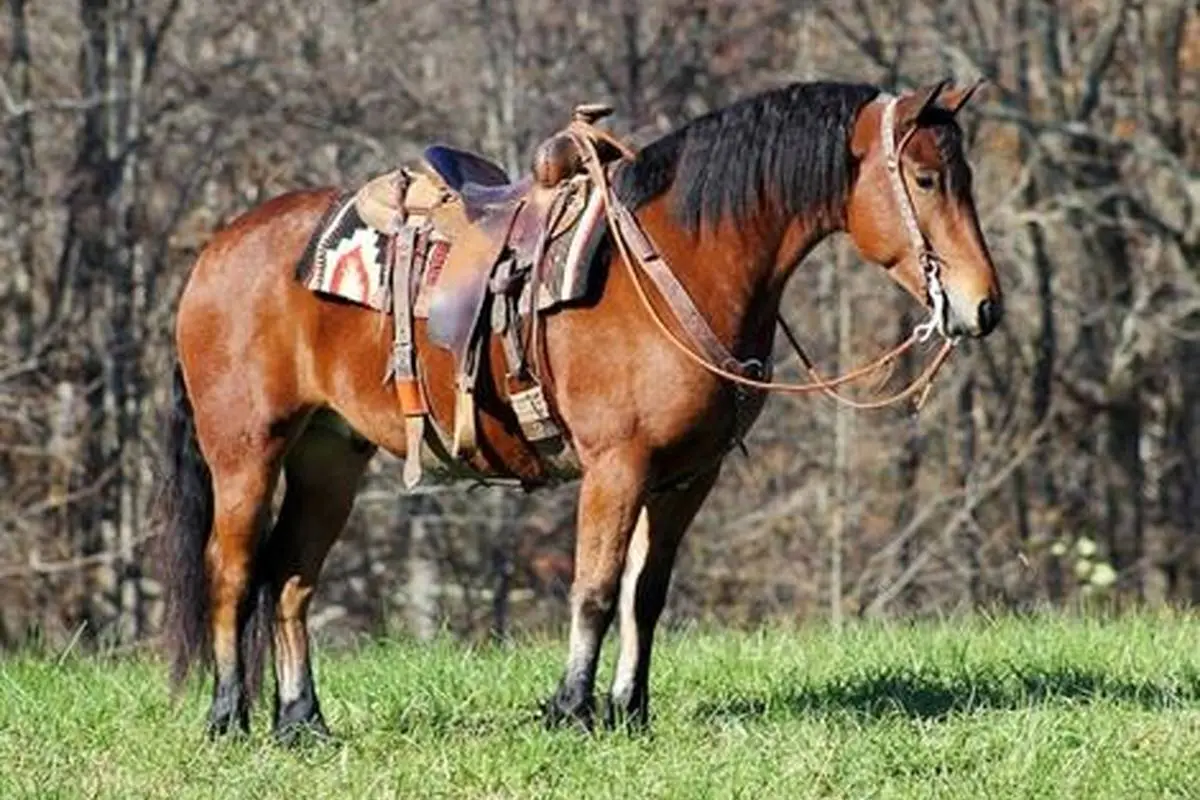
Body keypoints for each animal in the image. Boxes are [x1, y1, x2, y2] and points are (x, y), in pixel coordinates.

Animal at [159, 77, 1003, 743]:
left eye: (964, 176)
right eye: (926, 178)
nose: (983, 306)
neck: (679, 258)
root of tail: (216, 251)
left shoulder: (686, 478)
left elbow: (645, 595)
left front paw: (631, 711)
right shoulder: (615, 467)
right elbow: (594, 589)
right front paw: (571, 709)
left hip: (329, 457)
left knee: (290, 579)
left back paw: (303, 722)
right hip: (246, 451)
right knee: (233, 572)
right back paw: (228, 718)